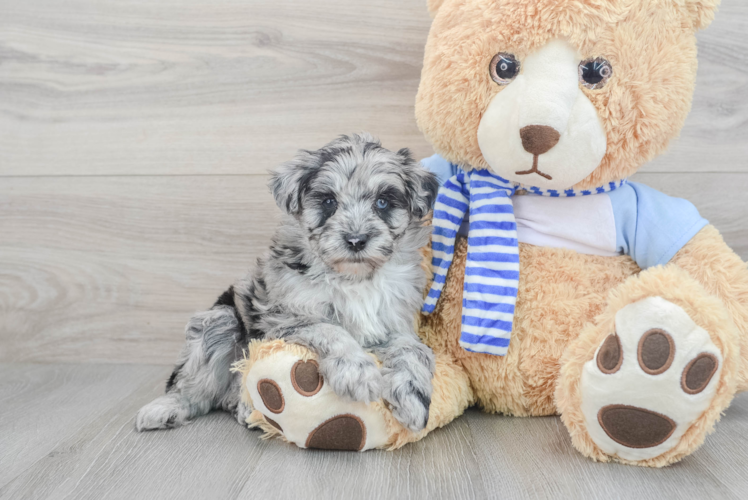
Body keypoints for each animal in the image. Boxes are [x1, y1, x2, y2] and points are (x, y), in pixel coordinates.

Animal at [136, 134, 438, 434]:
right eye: (328, 202)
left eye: (383, 202)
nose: (355, 241)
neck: (353, 277)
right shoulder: (285, 316)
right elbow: (331, 329)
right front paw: (357, 372)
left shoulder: (395, 323)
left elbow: (414, 350)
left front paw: (413, 400)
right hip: (220, 320)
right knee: (195, 387)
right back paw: (167, 408)